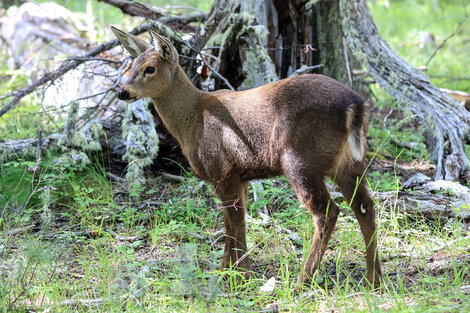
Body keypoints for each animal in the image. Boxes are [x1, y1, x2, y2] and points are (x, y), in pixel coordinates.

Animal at [112, 25, 384, 286]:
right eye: (131, 65)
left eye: (150, 68)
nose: (122, 92)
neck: (192, 122)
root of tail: (355, 105)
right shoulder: (236, 176)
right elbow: (229, 223)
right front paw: (225, 269)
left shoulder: (222, 169)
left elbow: (237, 223)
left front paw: (242, 275)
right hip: (347, 161)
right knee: (365, 207)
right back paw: (374, 278)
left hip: (299, 159)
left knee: (327, 212)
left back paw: (302, 279)